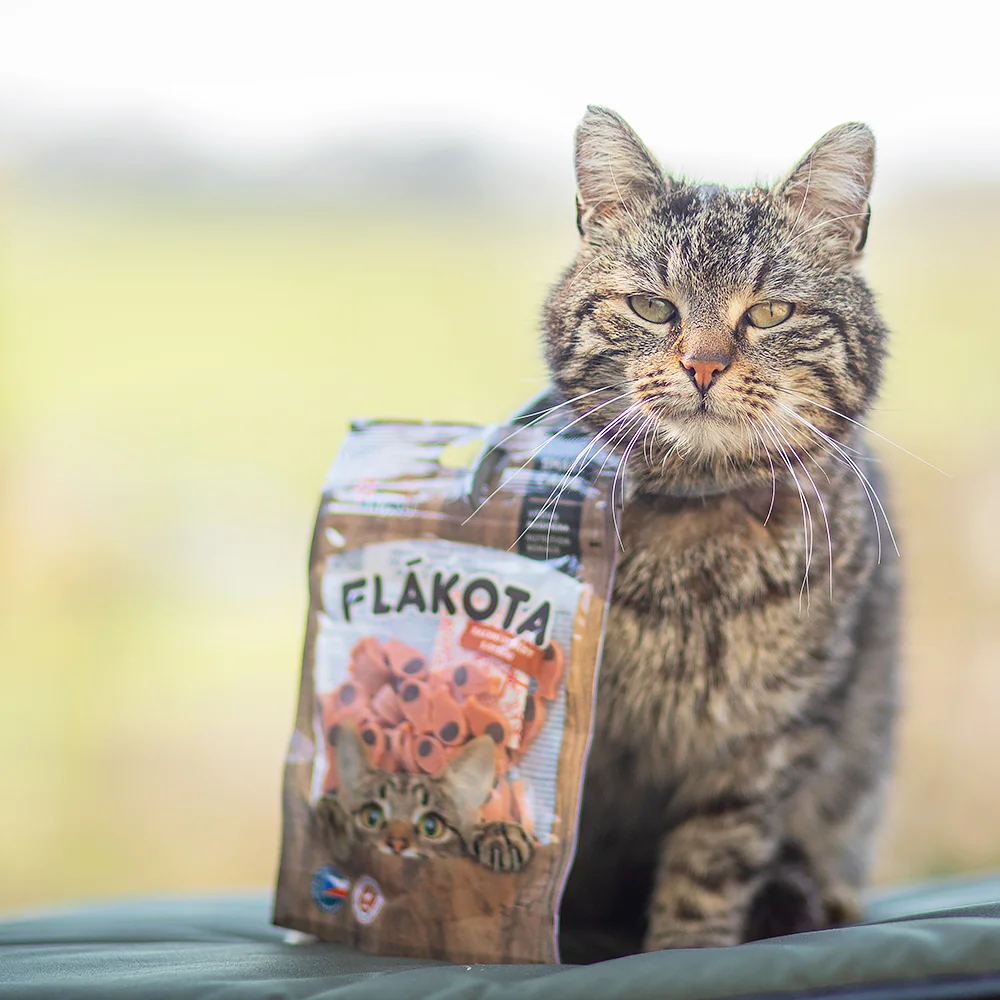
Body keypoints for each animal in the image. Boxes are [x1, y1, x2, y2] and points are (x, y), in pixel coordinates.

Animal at [544, 105, 904, 956]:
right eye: (654, 307)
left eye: (770, 312)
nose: (703, 366)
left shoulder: (767, 739)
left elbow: (710, 866)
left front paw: (683, 952)